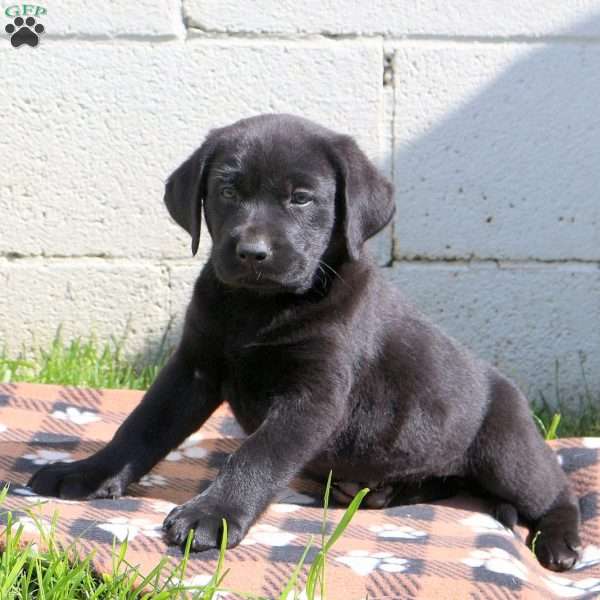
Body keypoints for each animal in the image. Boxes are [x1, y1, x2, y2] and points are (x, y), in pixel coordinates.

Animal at [29, 113, 580, 572]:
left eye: (301, 197)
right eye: (227, 190)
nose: (252, 252)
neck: (258, 308)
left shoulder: (313, 397)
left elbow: (256, 454)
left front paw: (214, 513)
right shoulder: (191, 370)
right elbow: (140, 427)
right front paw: (88, 472)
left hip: (508, 448)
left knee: (556, 491)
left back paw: (559, 543)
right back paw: (385, 493)